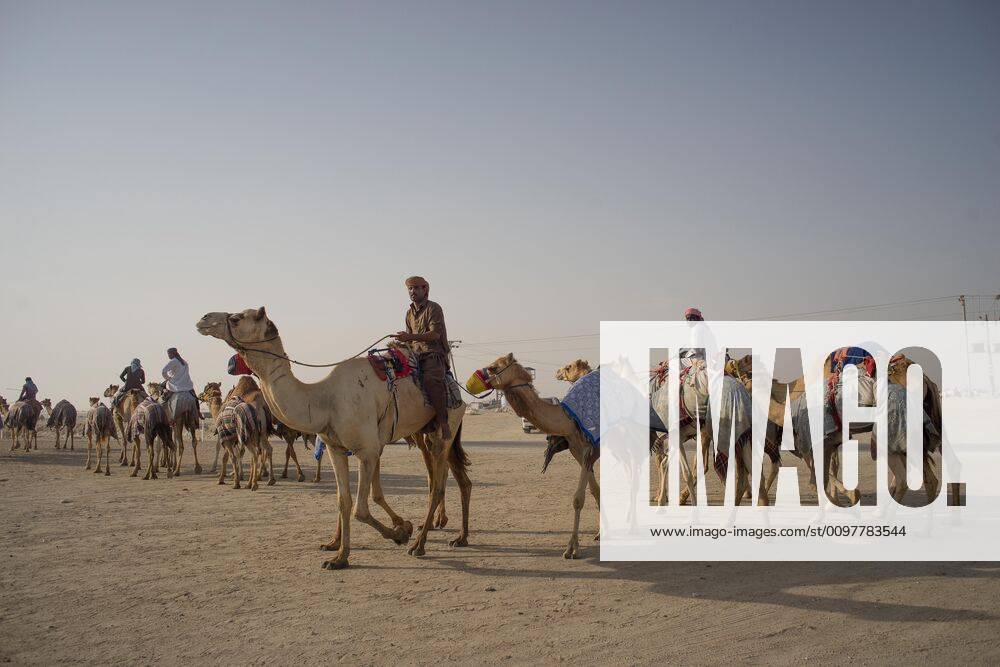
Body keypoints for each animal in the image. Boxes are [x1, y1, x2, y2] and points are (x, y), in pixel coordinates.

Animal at [199, 308, 472, 568]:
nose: (203, 318)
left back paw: (419, 544)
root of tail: (458, 390)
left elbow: (360, 509)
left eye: (236, 318)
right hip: (425, 431)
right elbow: (344, 500)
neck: (324, 400)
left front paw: (400, 533)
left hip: (445, 426)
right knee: (455, 478)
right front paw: (339, 553)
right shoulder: (335, 448)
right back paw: (460, 537)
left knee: (437, 485)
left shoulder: (367, 450)